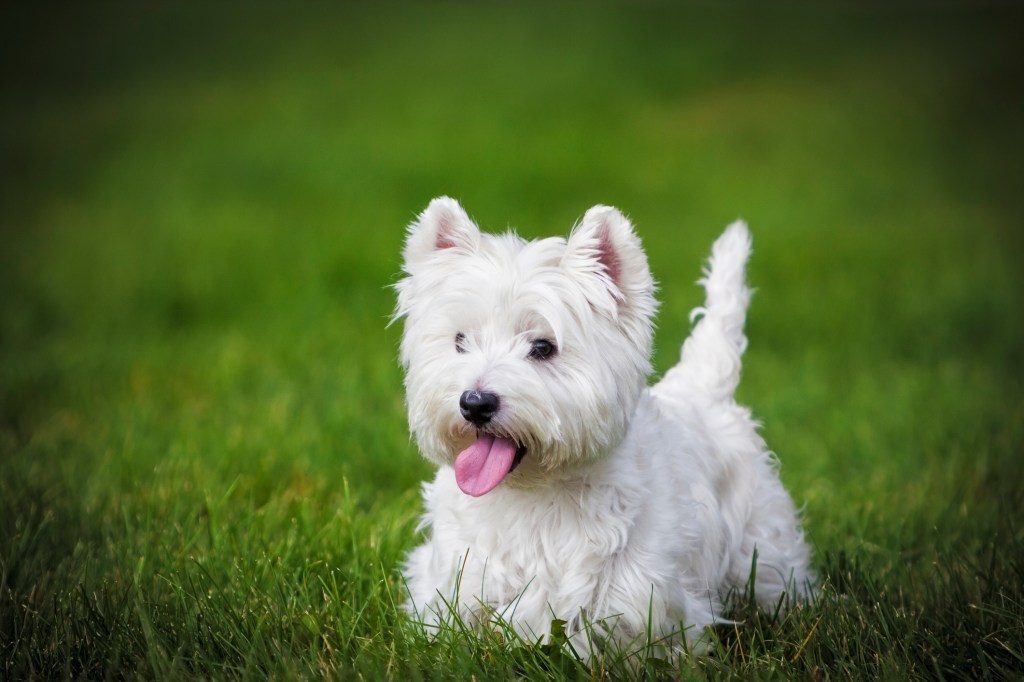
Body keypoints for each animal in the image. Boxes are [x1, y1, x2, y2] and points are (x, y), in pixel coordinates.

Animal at [393, 196, 815, 655]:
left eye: (543, 347)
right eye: (460, 341)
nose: (474, 403)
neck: (533, 497)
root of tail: (704, 388)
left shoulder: (643, 599)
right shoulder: (457, 581)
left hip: (762, 542)